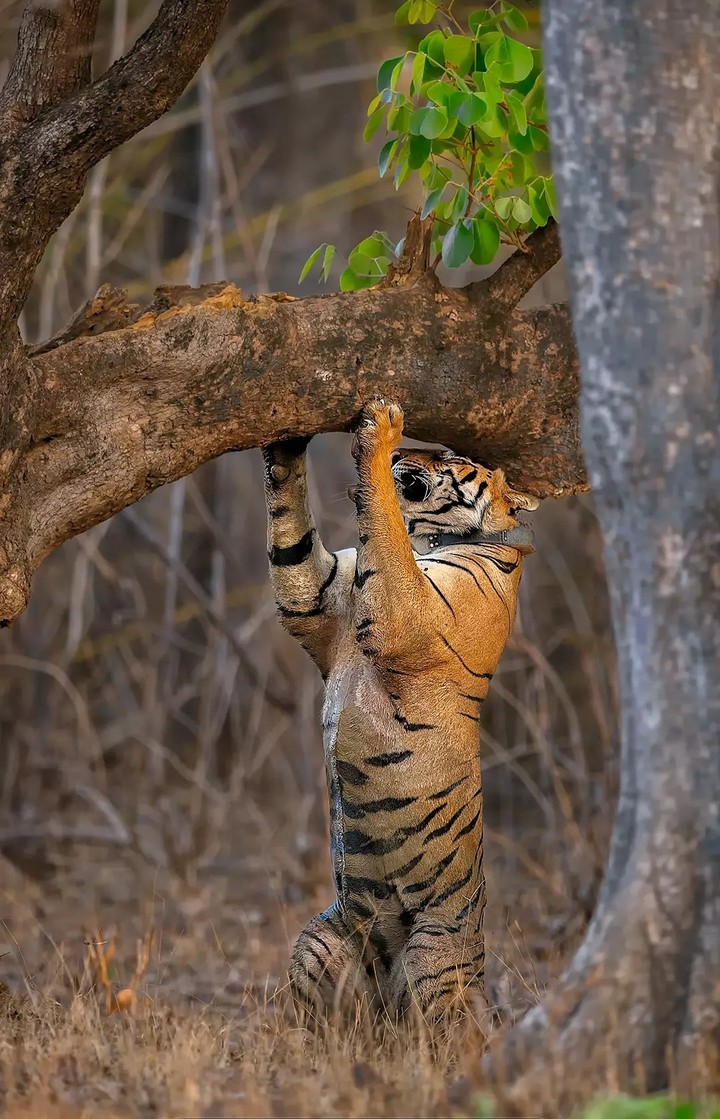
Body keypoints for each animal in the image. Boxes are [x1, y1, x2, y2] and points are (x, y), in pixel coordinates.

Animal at [262, 399, 539, 1025]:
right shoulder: (318, 595)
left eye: (451, 456)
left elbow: (383, 525)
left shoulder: (403, 610)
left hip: (435, 965)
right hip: (322, 941)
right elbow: (292, 532)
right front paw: (285, 444)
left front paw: (381, 430)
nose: (411, 450)